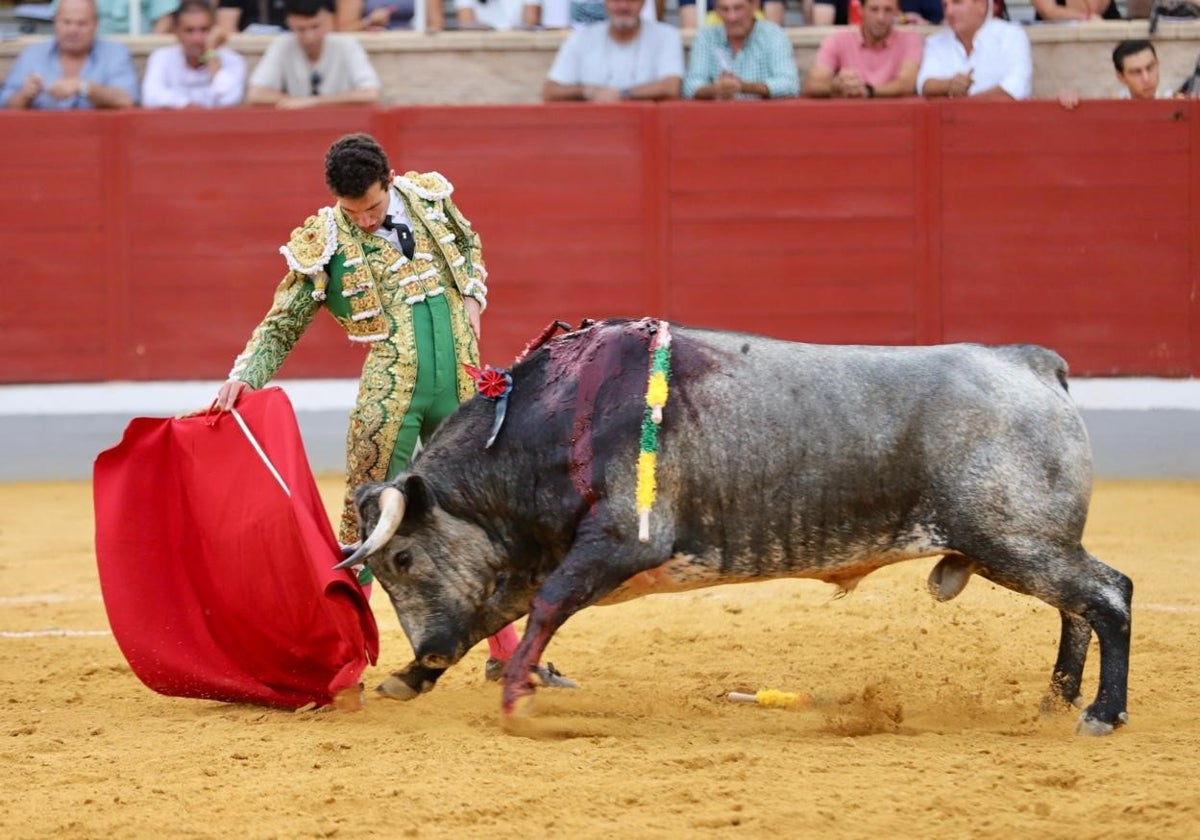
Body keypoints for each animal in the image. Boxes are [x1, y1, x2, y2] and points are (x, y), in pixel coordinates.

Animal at [340, 319, 1132, 734]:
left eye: (402, 560)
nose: (429, 650)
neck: (552, 418)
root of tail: (1030, 363)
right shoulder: (539, 559)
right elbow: (501, 612)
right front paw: (409, 679)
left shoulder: (617, 544)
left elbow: (544, 609)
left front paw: (513, 697)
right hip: (1022, 546)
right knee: (1078, 607)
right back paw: (1056, 700)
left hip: (1015, 542)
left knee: (1108, 595)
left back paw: (1100, 712)